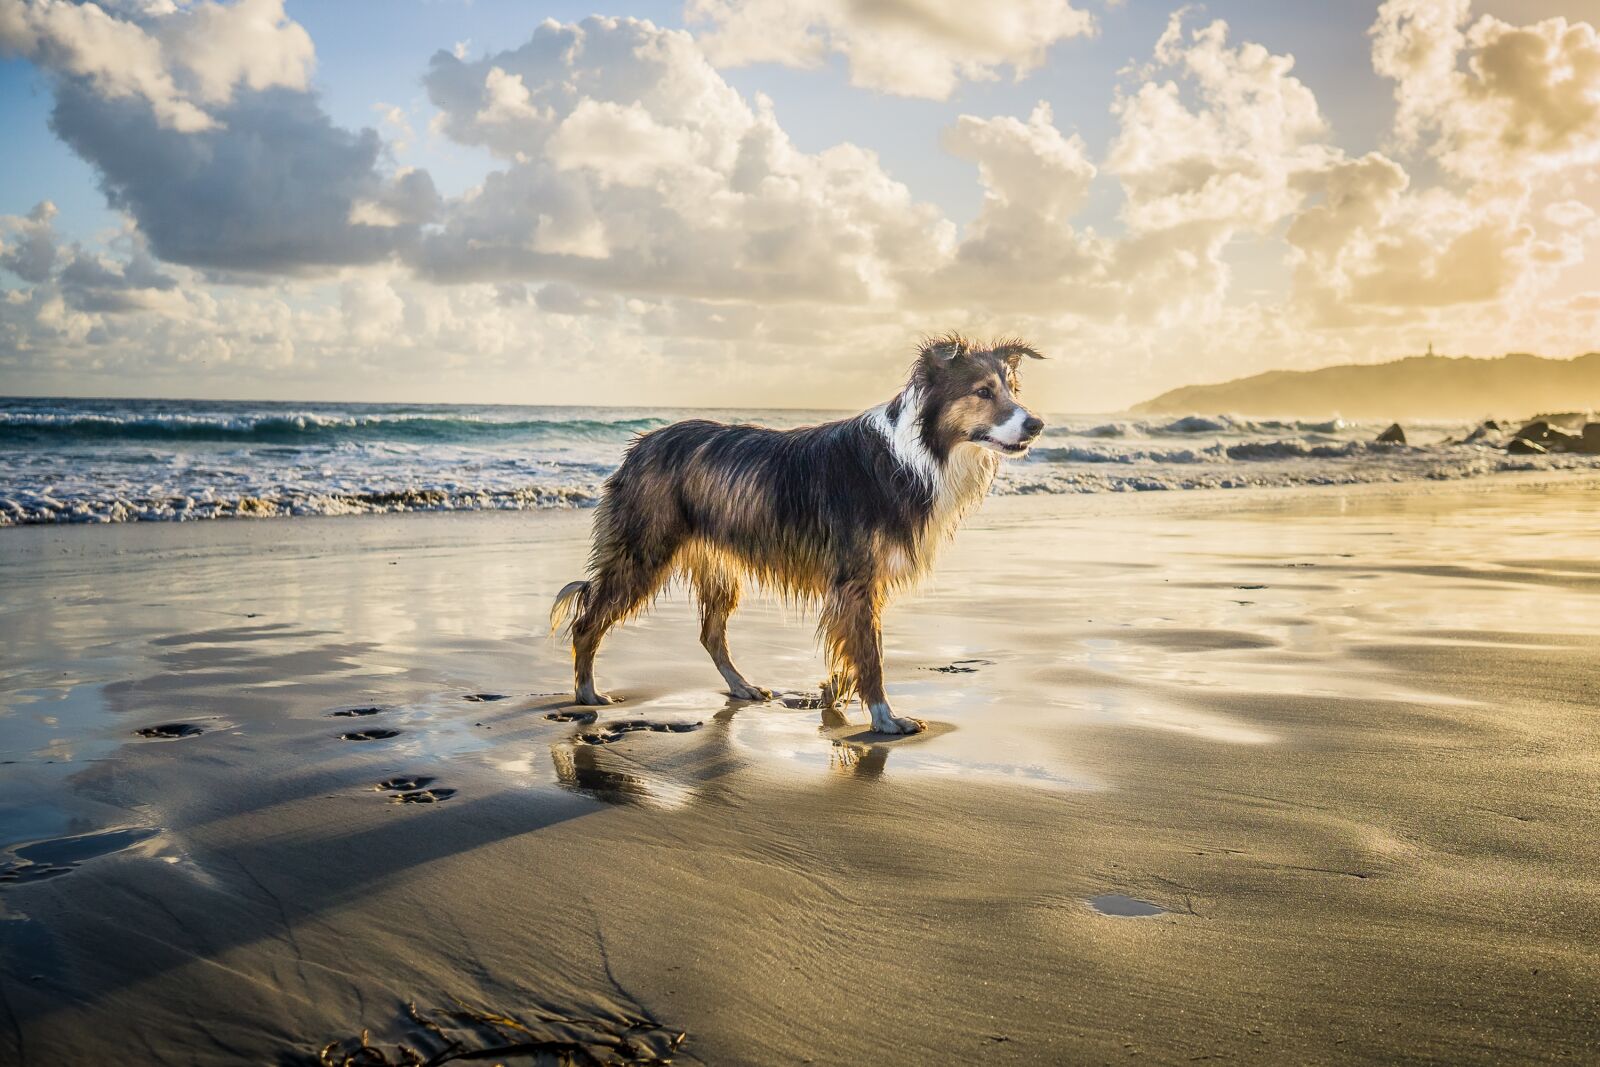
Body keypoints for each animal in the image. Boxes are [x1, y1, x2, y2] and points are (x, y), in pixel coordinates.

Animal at [553, 334, 1049, 735]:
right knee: (587, 621)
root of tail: (640, 446)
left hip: (718, 566)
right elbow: (871, 654)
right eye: (983, 392)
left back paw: (743, 688)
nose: (1037, 425)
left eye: (1011, 389)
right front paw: (885, 718)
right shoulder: (856, 579)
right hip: (643, 551)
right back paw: (588, 694)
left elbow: (856, 648)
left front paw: (833, 692)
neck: (916, 454)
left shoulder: (860, 586)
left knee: (711, 635)